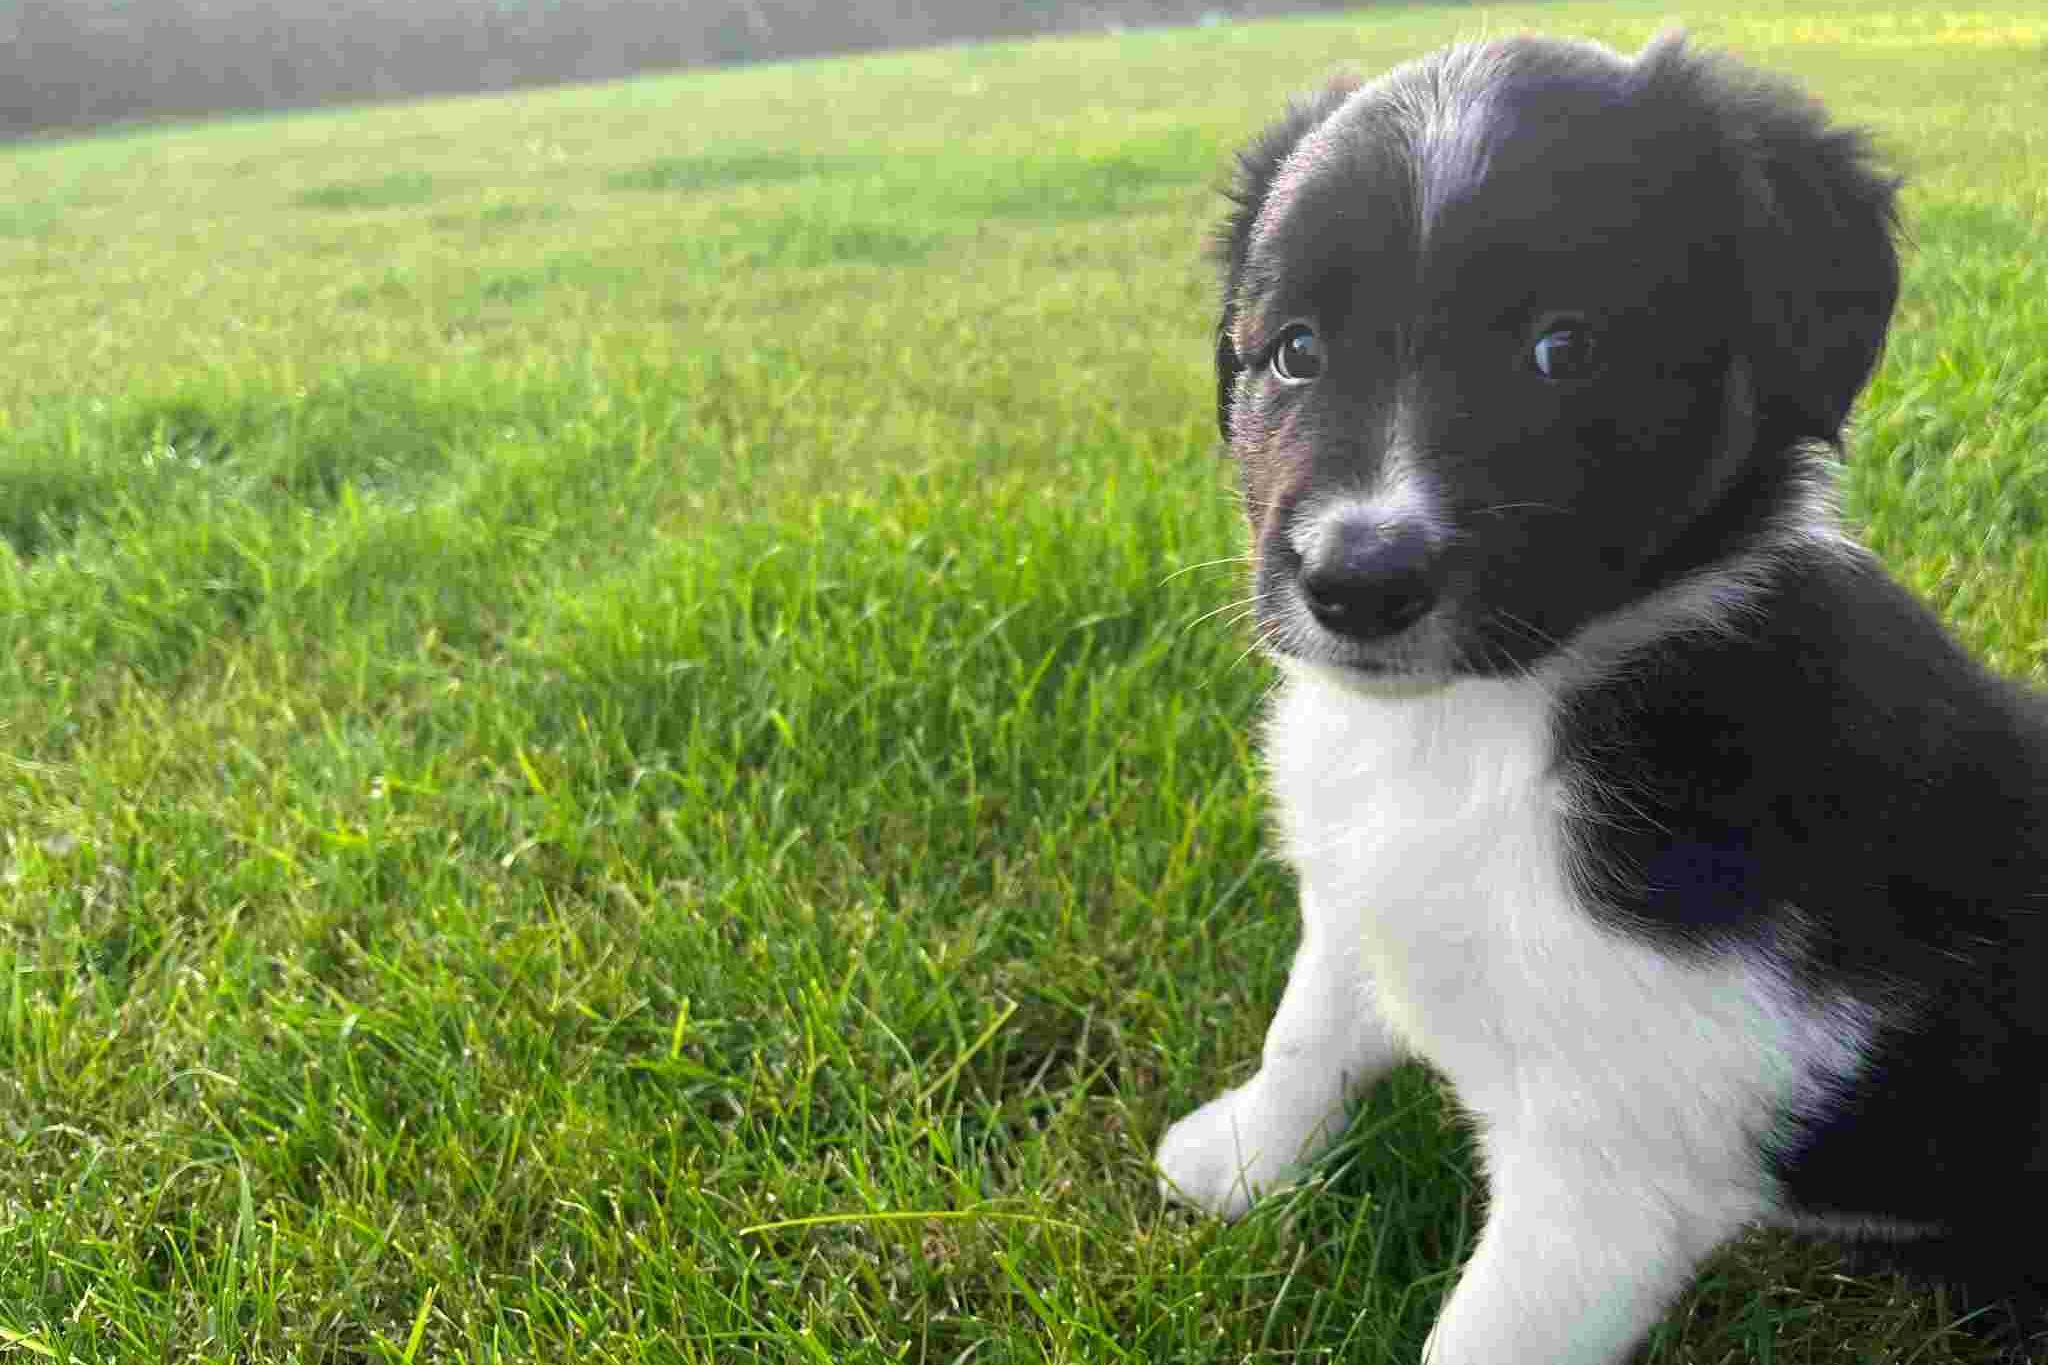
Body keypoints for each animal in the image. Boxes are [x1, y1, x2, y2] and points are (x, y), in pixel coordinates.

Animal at [1154, 31, 2048, 1363]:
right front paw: (1241, 1161)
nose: (1355, 584)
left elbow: (1474, 1340)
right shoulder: (1361, 889)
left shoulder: (1608, 1173)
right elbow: (1306, 1025)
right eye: (1293, 351)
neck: (1476, 726)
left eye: (1561, 351)